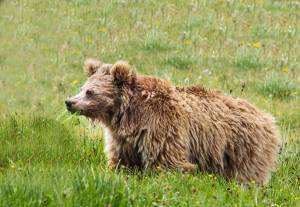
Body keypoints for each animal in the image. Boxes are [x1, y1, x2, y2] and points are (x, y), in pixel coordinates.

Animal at [65, 58, 282, 184]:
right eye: (83, 87)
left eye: (90, 92)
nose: (69, 102)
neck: (128, 114)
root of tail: (267, 117)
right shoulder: (123, 138)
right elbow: (122, 161)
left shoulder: (160, 126)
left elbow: (167, 161)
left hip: (244, 146)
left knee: (247, 174)